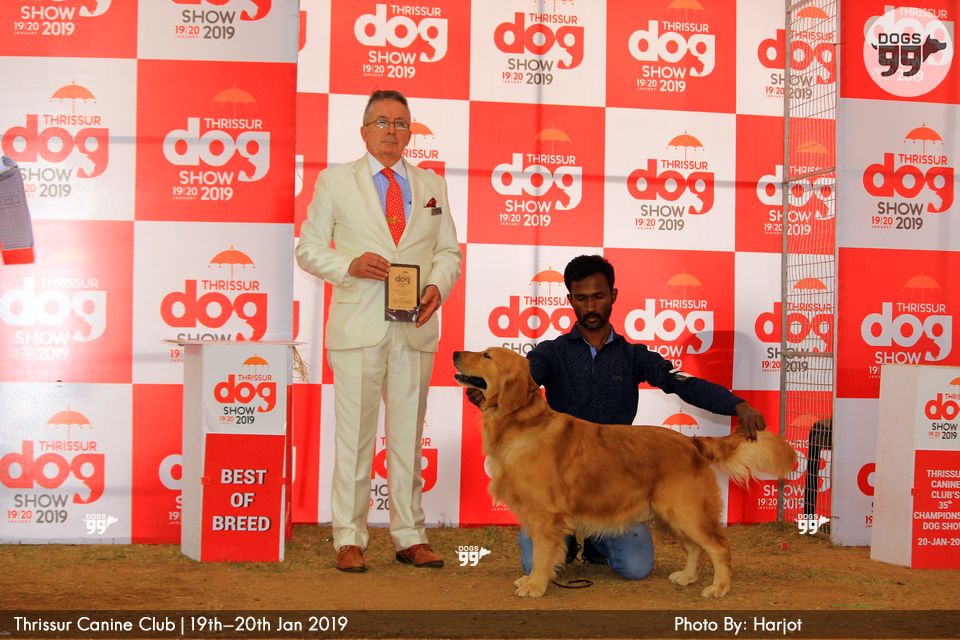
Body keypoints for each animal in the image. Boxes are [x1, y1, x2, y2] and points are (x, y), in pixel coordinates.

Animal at [452, 347, 796, 598]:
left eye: (487, 356)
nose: (455, 352)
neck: (520, 422)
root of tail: (692, 442)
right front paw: (536, 580)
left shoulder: (546, 516)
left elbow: (541, 555)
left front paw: (535, 585)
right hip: (670, 514)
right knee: (695, 547)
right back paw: (686, 576)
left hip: (686, 510)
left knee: (718, 546)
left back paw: (719, 587)